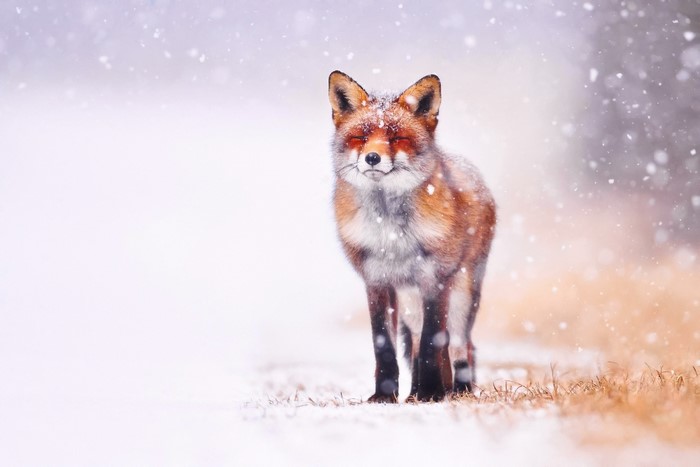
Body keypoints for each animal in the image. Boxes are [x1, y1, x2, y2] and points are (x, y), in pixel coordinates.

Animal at [328, 71, 497, 403]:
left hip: (461, 293)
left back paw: (456, 390)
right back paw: (415, 392)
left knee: (460, 345)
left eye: (396, 138)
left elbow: (434, 342)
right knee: (418, 342)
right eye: (361, 137)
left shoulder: (435, 279)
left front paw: (432, 393)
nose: (372, 157)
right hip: (408, 300)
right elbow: (385, 346)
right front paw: (384, 396)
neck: (390, 233)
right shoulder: (377, 281)